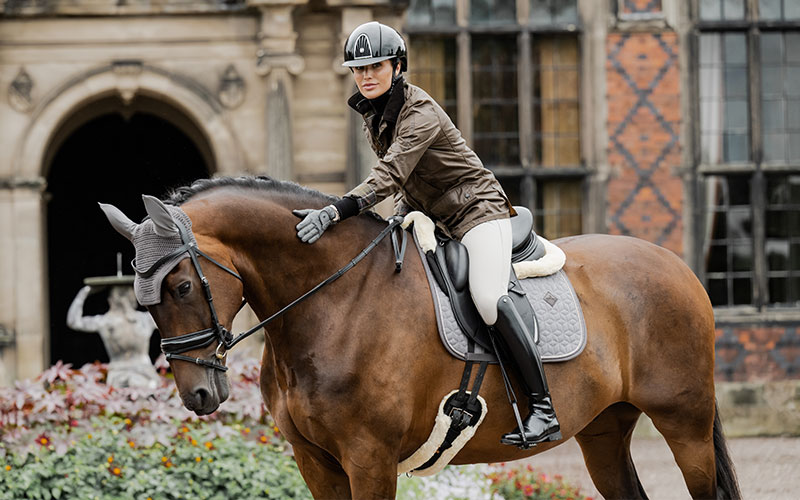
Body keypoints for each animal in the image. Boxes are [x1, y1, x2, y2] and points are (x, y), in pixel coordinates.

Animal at [101, 178, 744, 500]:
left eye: (183, 285)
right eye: (140, 299)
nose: (198, 395)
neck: (333, 302)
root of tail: (677, 264)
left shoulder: (369, 458)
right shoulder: (316, 463)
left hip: (684, 422)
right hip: (604, 429)